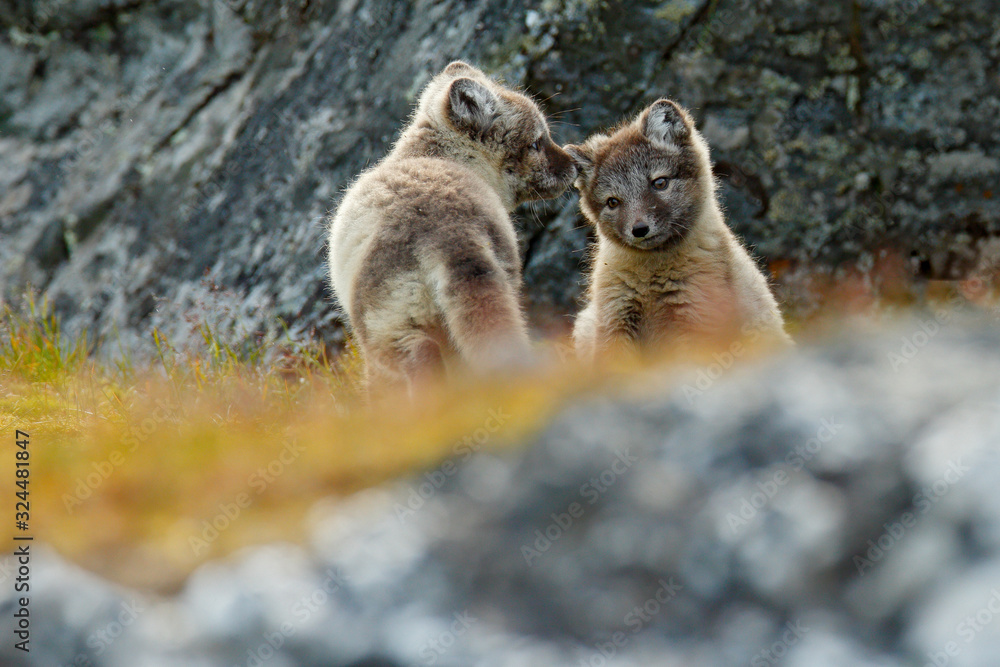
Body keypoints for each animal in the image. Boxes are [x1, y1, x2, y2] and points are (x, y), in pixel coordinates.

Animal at [565, 98, 790, 361]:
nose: (639, 229)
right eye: (612, 202)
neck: (650, 279)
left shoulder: (694, 320)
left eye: (660, 183)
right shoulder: (614, 317)